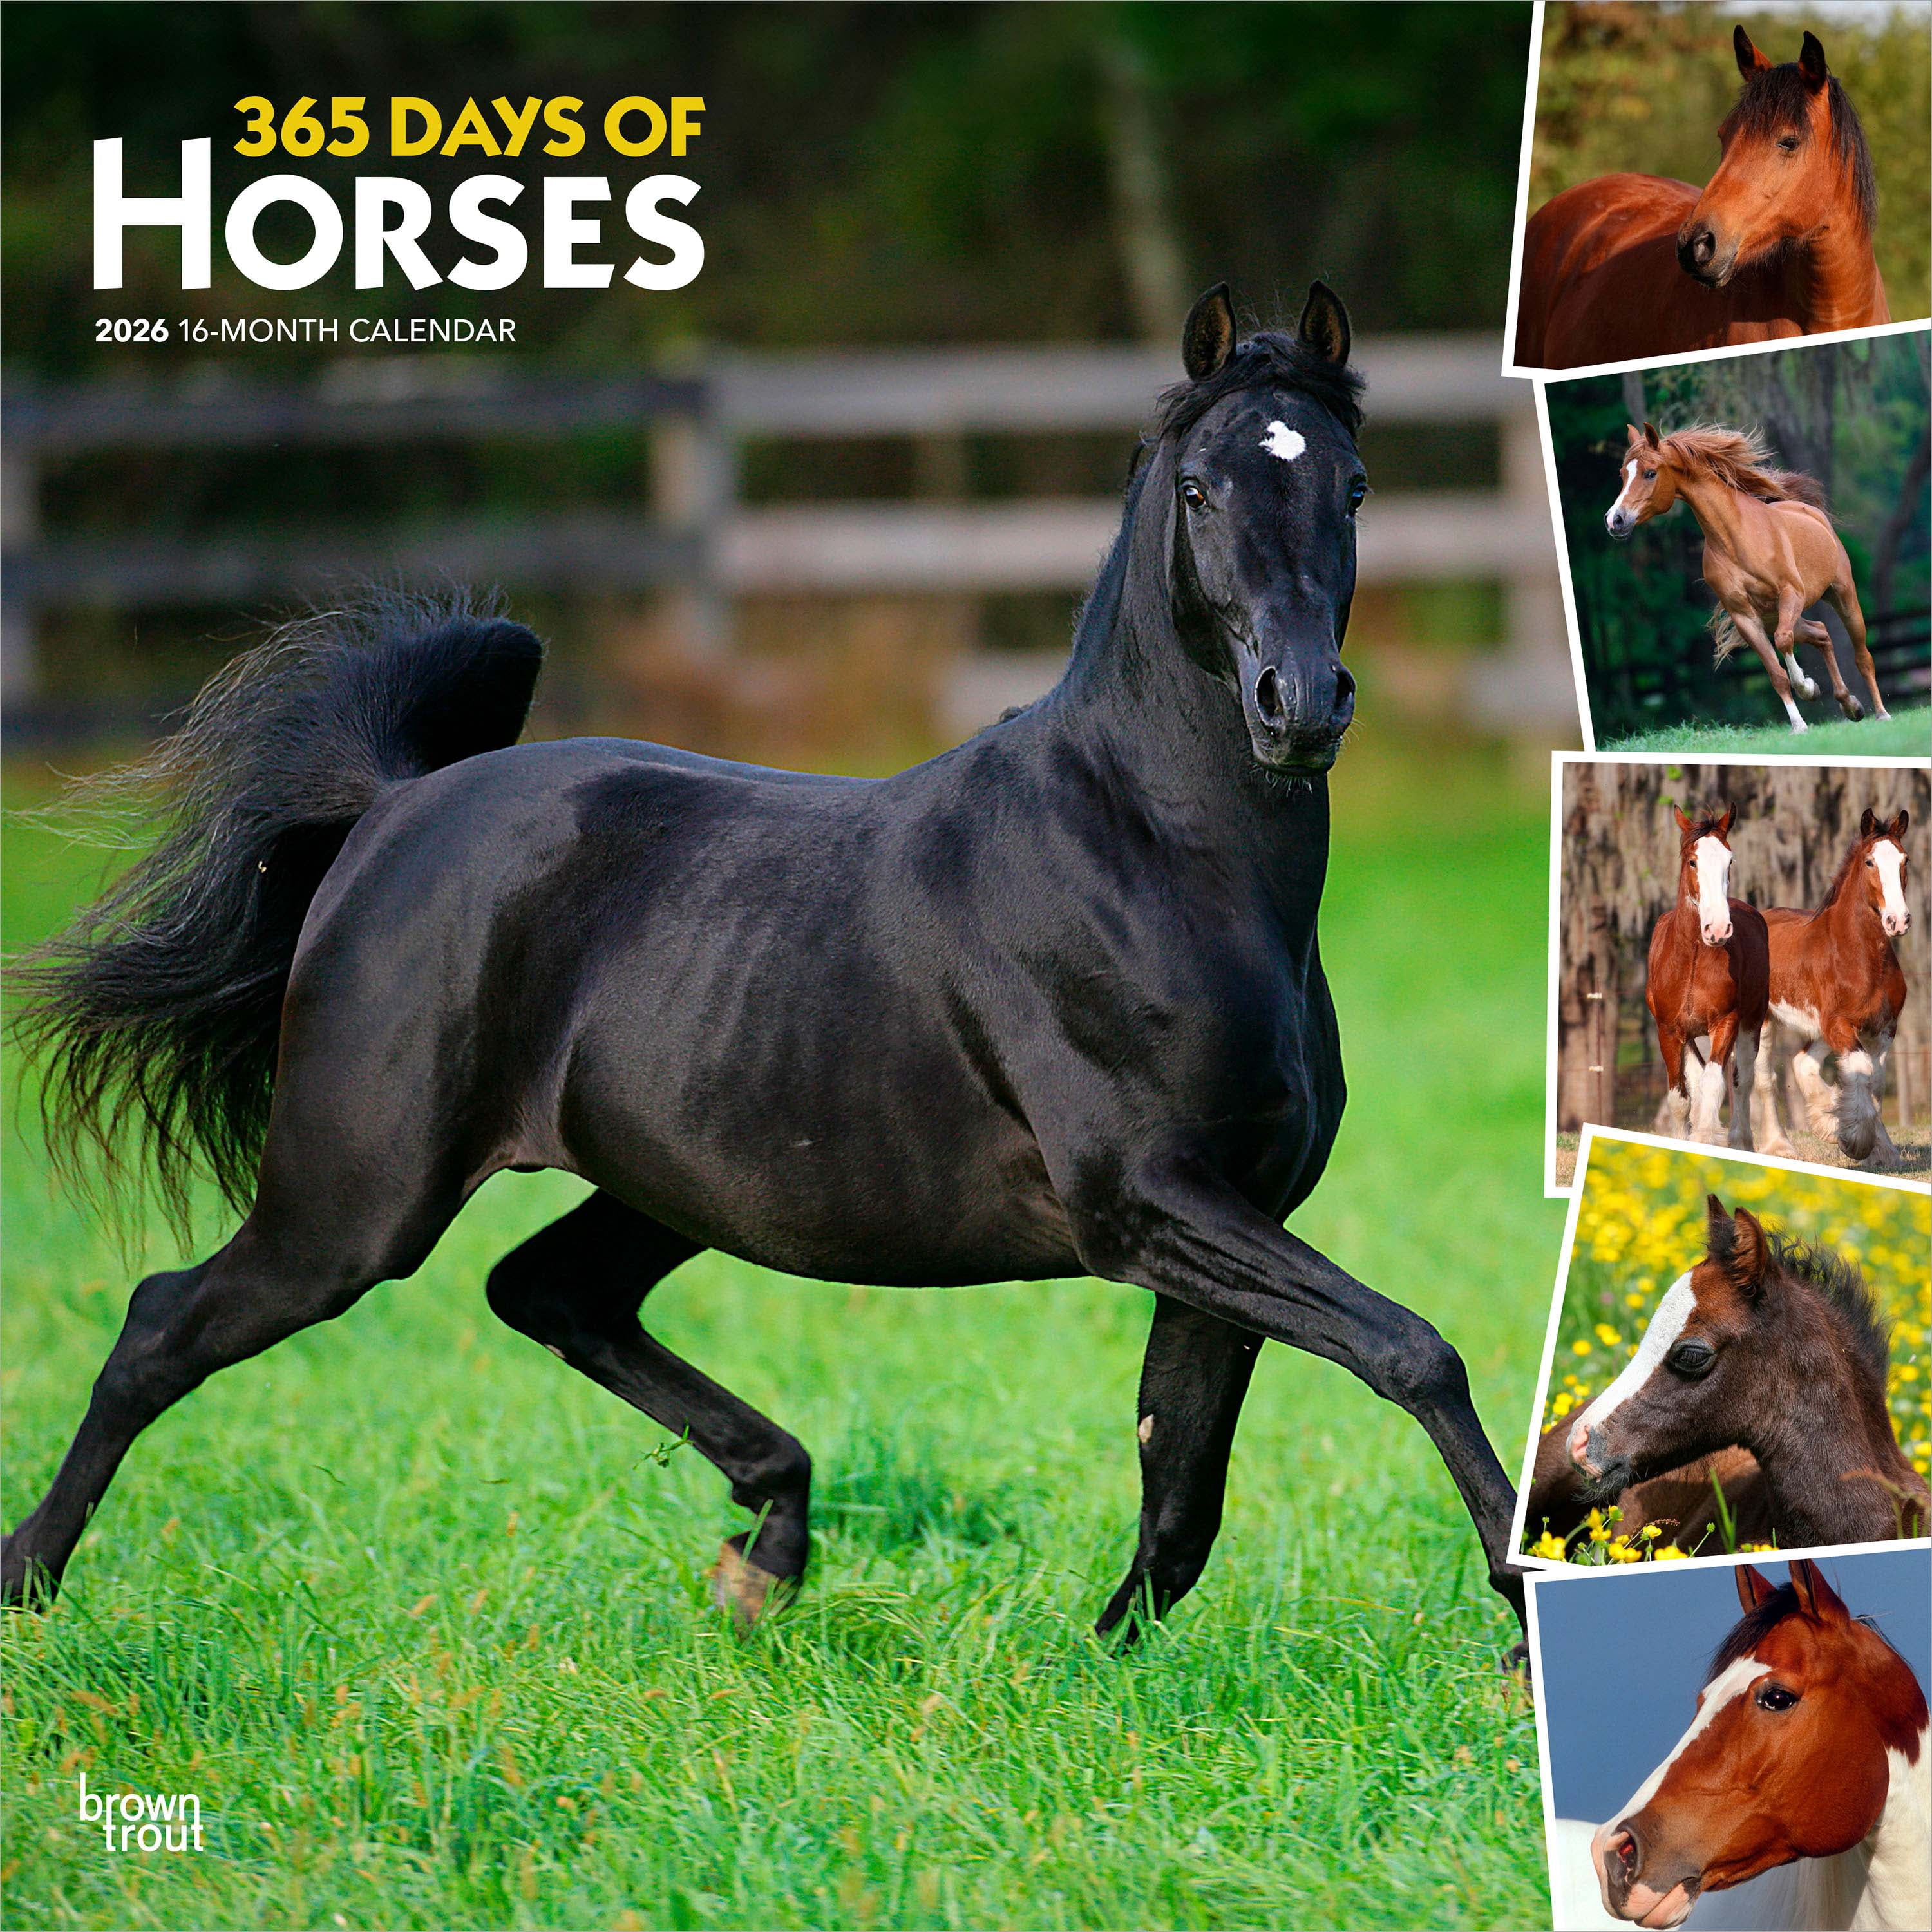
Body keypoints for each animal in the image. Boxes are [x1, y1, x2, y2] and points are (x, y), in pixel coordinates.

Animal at [1, 283, 1529, 1648]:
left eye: (1352, 486)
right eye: (1204, 489)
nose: (1299, 706)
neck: (1153, 853)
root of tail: (391, 809)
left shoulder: (1231, 1209)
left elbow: (1182, 1488)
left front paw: (1098, 1667)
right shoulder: (1144, 1202)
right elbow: (1412, 1351)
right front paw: (1523, 1625)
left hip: (667, 1184)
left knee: (548, 1293)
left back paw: (770, 1550)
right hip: (355, 1200)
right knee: (164, 1325)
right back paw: (30, 1582)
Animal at [1604, 422, 1885, 734]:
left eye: (1650, 473)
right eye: (1622, 474)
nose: (1614, 521)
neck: (1736, 539)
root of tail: (1810, 512)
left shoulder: (1791, 594)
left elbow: (1784, 643)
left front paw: (1807, 687)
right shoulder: (1744, 617)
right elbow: (1776, 674)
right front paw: (1799, 723)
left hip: (1842, 597)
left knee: (1862, 656)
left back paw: (1881, 713)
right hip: (1774, 616)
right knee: (1822, 633)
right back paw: (1850, 705)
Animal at [1645, 807, 1770, 1147]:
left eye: (1730, 861)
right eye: (1693, 861)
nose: (1718, 929)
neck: (1691, 962)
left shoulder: (1727, 1022)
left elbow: (1716, 1083)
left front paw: (1706, 1138)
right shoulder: (1669, 1031)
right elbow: (1680, 1097)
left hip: (1752, 1021)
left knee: (1742, 1080)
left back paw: (1741, 1140)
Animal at [1753, 810, 1913, 1170]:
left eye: (1904, 860)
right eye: (1869, 862)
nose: (1898, 921)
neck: (1859, 956)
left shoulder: (1883, 1028)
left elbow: (1876, 1081)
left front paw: (1881, 1150)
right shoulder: (1840, 1024)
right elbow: (1862, 1071)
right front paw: (1855, 1141)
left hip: (1822, 1029)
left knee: (1803, 1062)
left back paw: (1826, 1121)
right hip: (1767, 1022)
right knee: (1765, 1076)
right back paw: (1780, 1146)